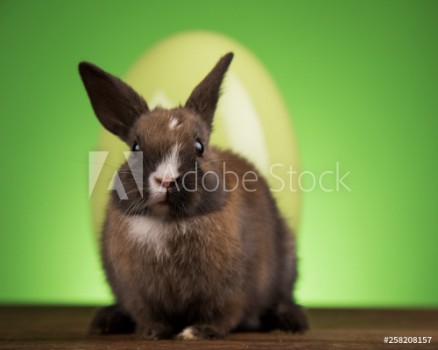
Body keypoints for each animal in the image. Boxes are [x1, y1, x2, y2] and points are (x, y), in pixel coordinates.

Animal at [78, 53, 308, 340]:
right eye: (135, 147)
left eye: (199, 146)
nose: (166, 179)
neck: (168, 222)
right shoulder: (137, 294)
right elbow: (147, 313)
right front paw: (152, 332)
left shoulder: (231, 291)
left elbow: (223, 315)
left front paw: (197, 332)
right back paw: (106, 320)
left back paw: (290, 321)